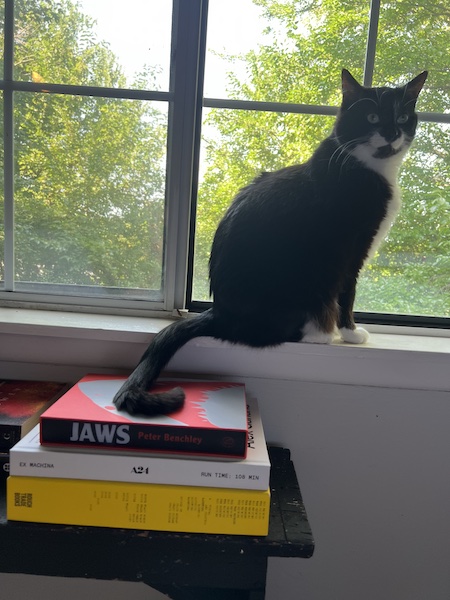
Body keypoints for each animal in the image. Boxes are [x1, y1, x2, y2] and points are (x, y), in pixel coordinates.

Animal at [113, 69, 428, 412]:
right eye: (371, 117)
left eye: (402, 117)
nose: (391, 133)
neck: (367, 167)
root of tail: (220, 314)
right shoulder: (349, 249)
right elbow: (347, 293)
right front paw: (351, 332)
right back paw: (318, 333)